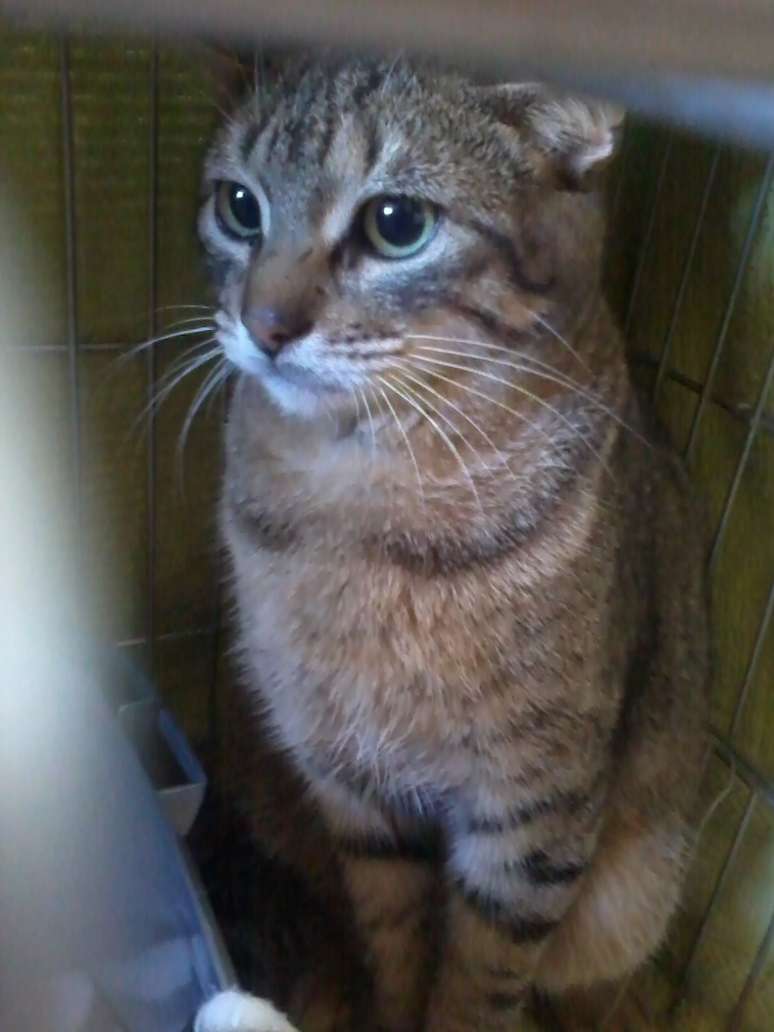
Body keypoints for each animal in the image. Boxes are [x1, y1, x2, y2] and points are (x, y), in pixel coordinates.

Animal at [192, 54, 710, 1032]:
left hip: (630, 894)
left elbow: (479, 979)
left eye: (397, 224)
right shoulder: (352, 790)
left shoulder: (532, 811)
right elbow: (395, 946)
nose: (265, 327)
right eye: (239, 206)